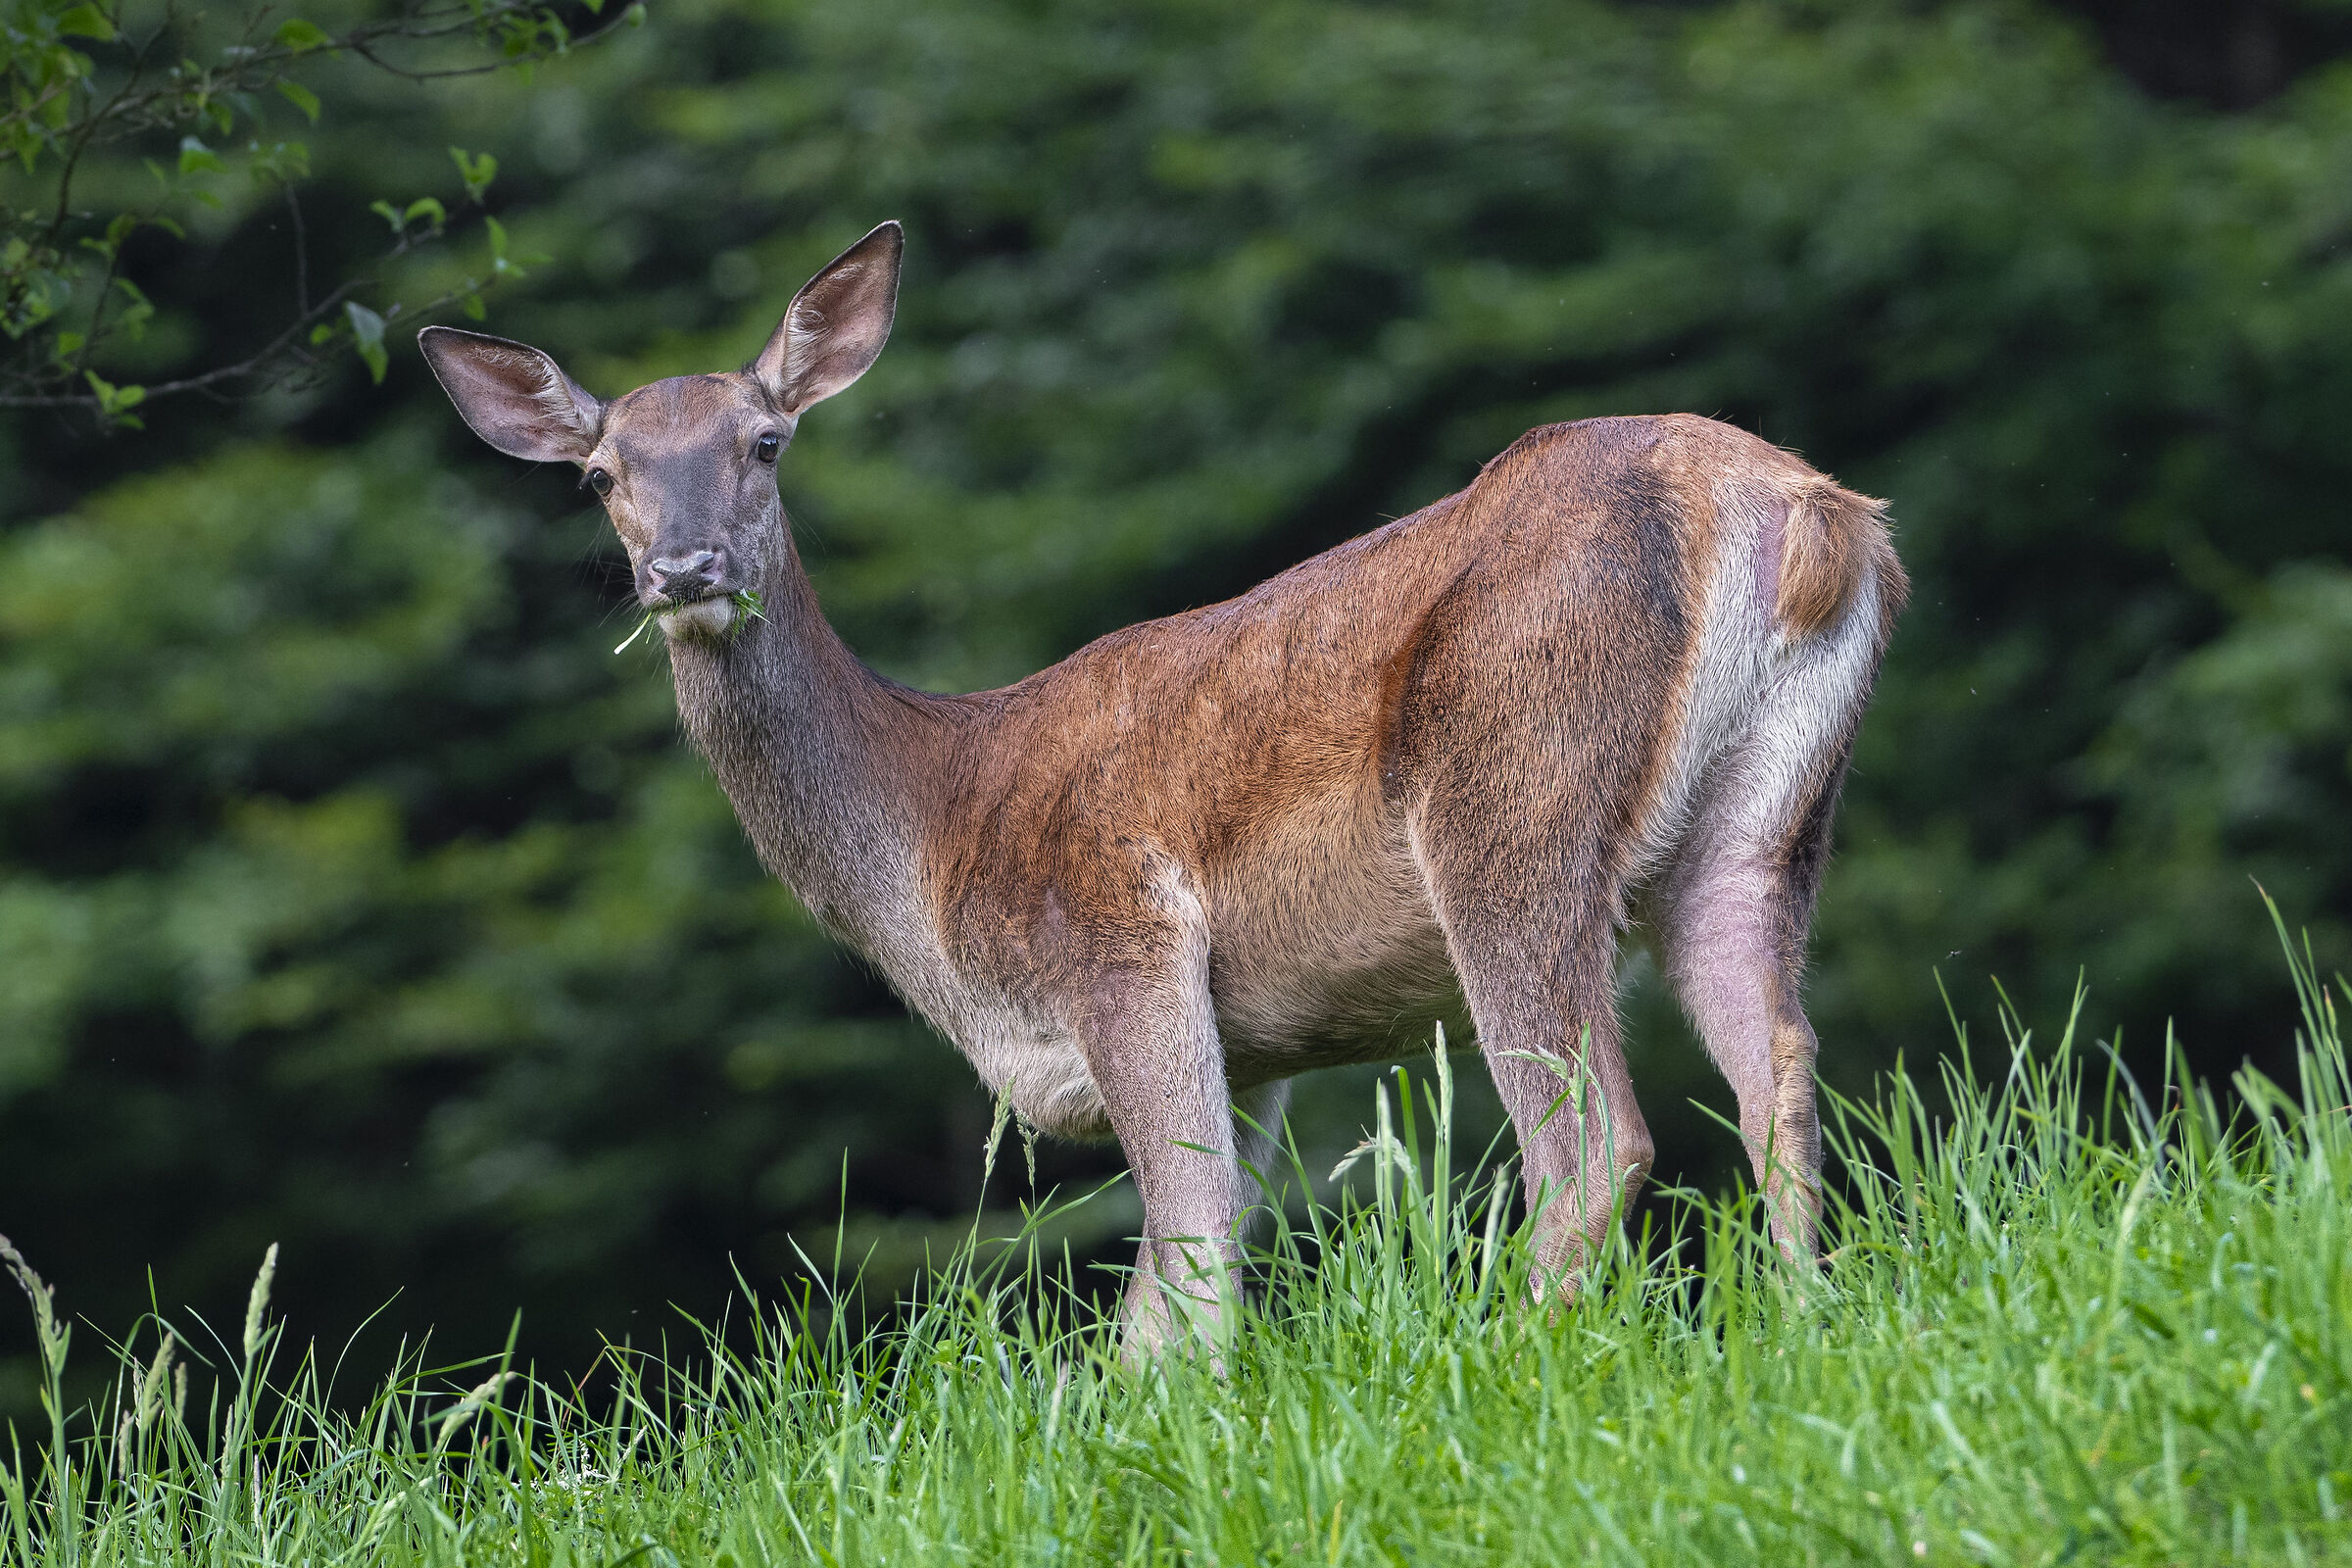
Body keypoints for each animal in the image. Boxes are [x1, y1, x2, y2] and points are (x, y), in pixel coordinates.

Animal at [420, 221, 1906, 1348]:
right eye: (600, 476)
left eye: (768, 441)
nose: (684, 569)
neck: (931, 847)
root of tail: (1794, 508)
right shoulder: (1260, 1046)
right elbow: (1204, 1261)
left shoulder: (1121, 943)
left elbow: (1175, 1280)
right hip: (1768, 820)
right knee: (1777, 1066)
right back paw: (1806, 1327)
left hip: (1509, 793)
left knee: (1595, 1140)